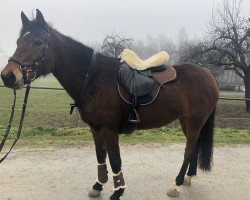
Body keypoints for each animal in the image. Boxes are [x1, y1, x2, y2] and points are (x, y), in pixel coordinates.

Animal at [0, 9, 219, 200]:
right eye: (19, 41)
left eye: (38, 42)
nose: (8, 76)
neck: (93, 78)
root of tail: (209, 76)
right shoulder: (95, 129)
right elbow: (100, 156)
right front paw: (98, 186)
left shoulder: (108, 129)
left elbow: (114, 160)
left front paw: (118, 191)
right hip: (185, 120)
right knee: (194, 146)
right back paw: (188, 178)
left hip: (195, 120)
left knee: (189, 148)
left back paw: (176, 183)